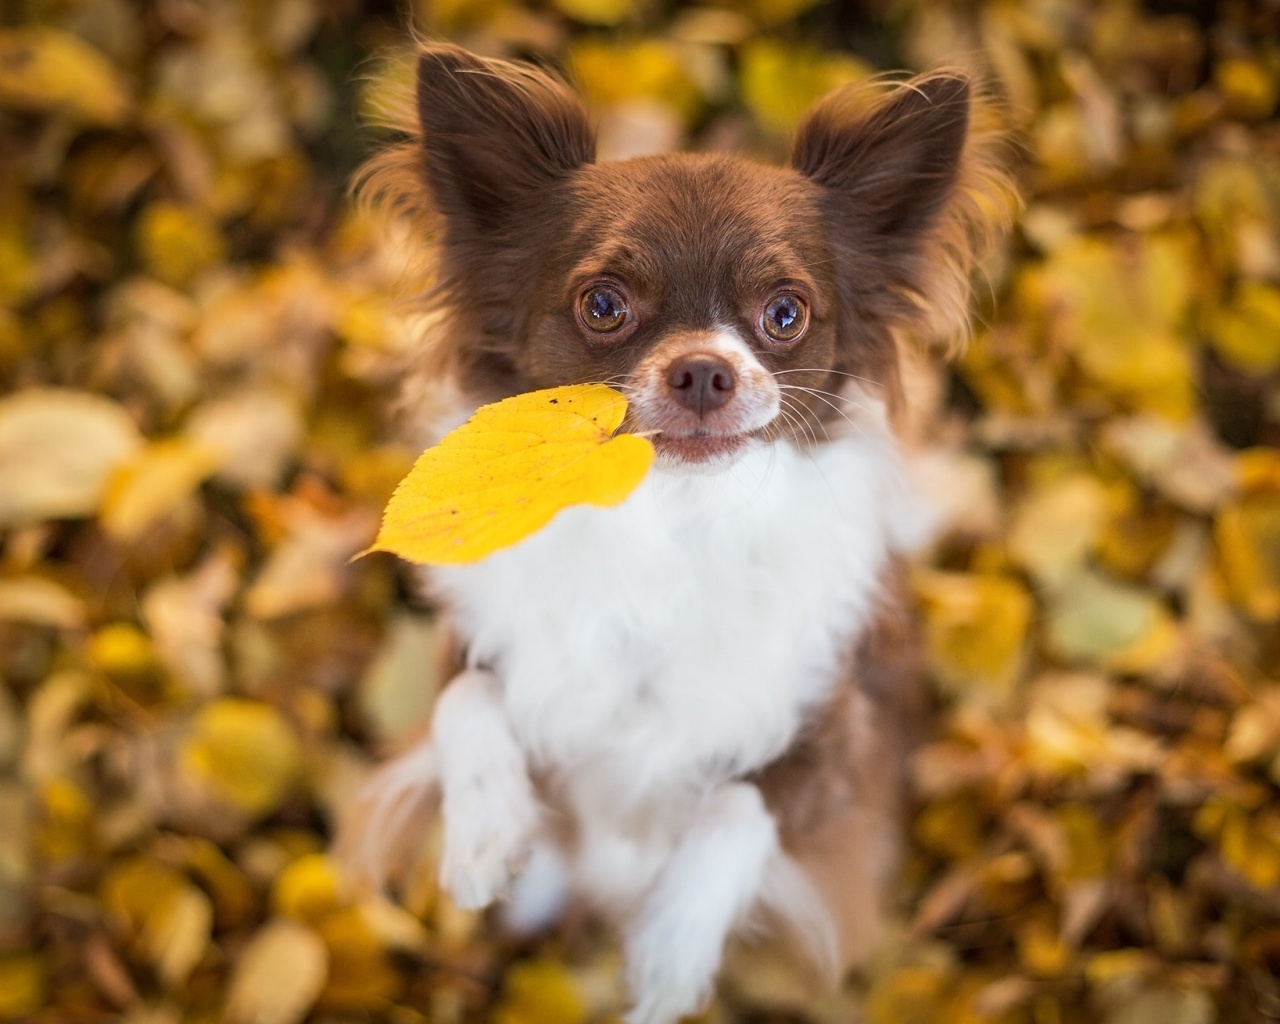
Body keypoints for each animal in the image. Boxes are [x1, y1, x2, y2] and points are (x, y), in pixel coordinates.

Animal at [340, 41, 1008, 1024]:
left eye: (785, 313)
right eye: (603, 305)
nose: (702, 369)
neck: (672, 524)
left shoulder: (838, 737)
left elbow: (742, 806)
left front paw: (668, 953)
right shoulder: (479, 642)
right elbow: (465, 698)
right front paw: (484, 833)